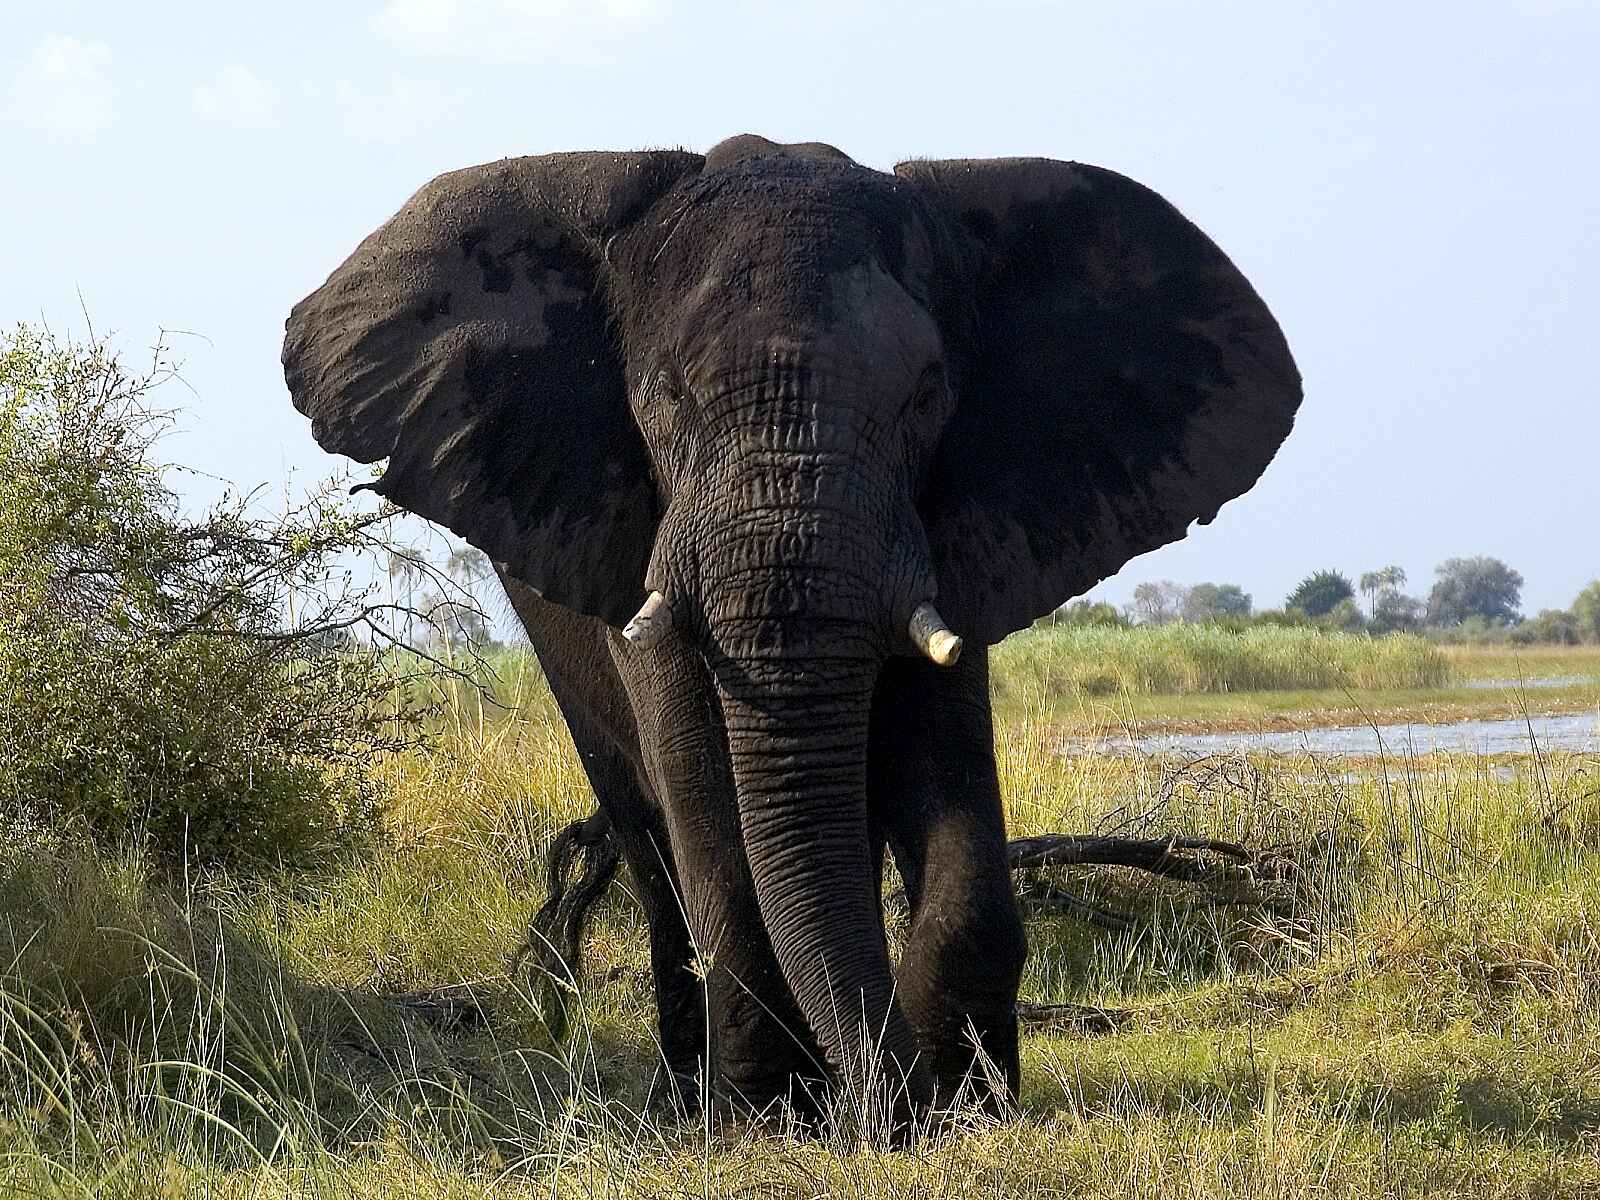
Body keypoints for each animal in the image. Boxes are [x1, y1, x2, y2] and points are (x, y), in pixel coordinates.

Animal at [282, 134, 1301, 1126]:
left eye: (928, 393)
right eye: (664, 396)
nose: (898, 1111)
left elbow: (943, 764)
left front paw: (969, 1104)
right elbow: (704, 791)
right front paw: (769, 1114)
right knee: (647, 837)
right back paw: (687, 1098)